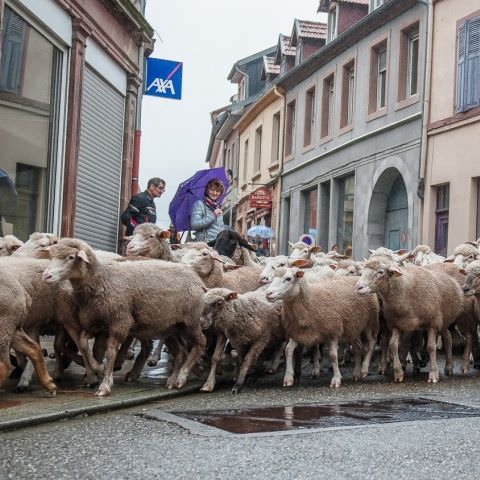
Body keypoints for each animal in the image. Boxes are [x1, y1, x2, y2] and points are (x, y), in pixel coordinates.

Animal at [42, 238, 205, 396]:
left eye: (70, 257)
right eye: (52, 256)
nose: (46, 276)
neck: (102, 280)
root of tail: (196, 277)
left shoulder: (120, 321)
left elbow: (110, 352)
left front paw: (105, 384)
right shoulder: (96, 323)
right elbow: (83, 344)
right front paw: (98, 367)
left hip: (192, 321)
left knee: (200, 344)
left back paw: (182, 377)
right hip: (170, 327)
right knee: (180, 351)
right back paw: (172, 380)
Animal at [356, 256, 464, 384]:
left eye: (380, 272)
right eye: (363, 270)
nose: (358, 287)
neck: (405, 291)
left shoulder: (432, 323)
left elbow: (431, 347)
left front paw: (433, 374)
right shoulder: (397, 324)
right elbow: (393, 346)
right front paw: (398, 373)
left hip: (441, 320)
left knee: (447, 339)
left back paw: (448, 367)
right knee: (446, 336)